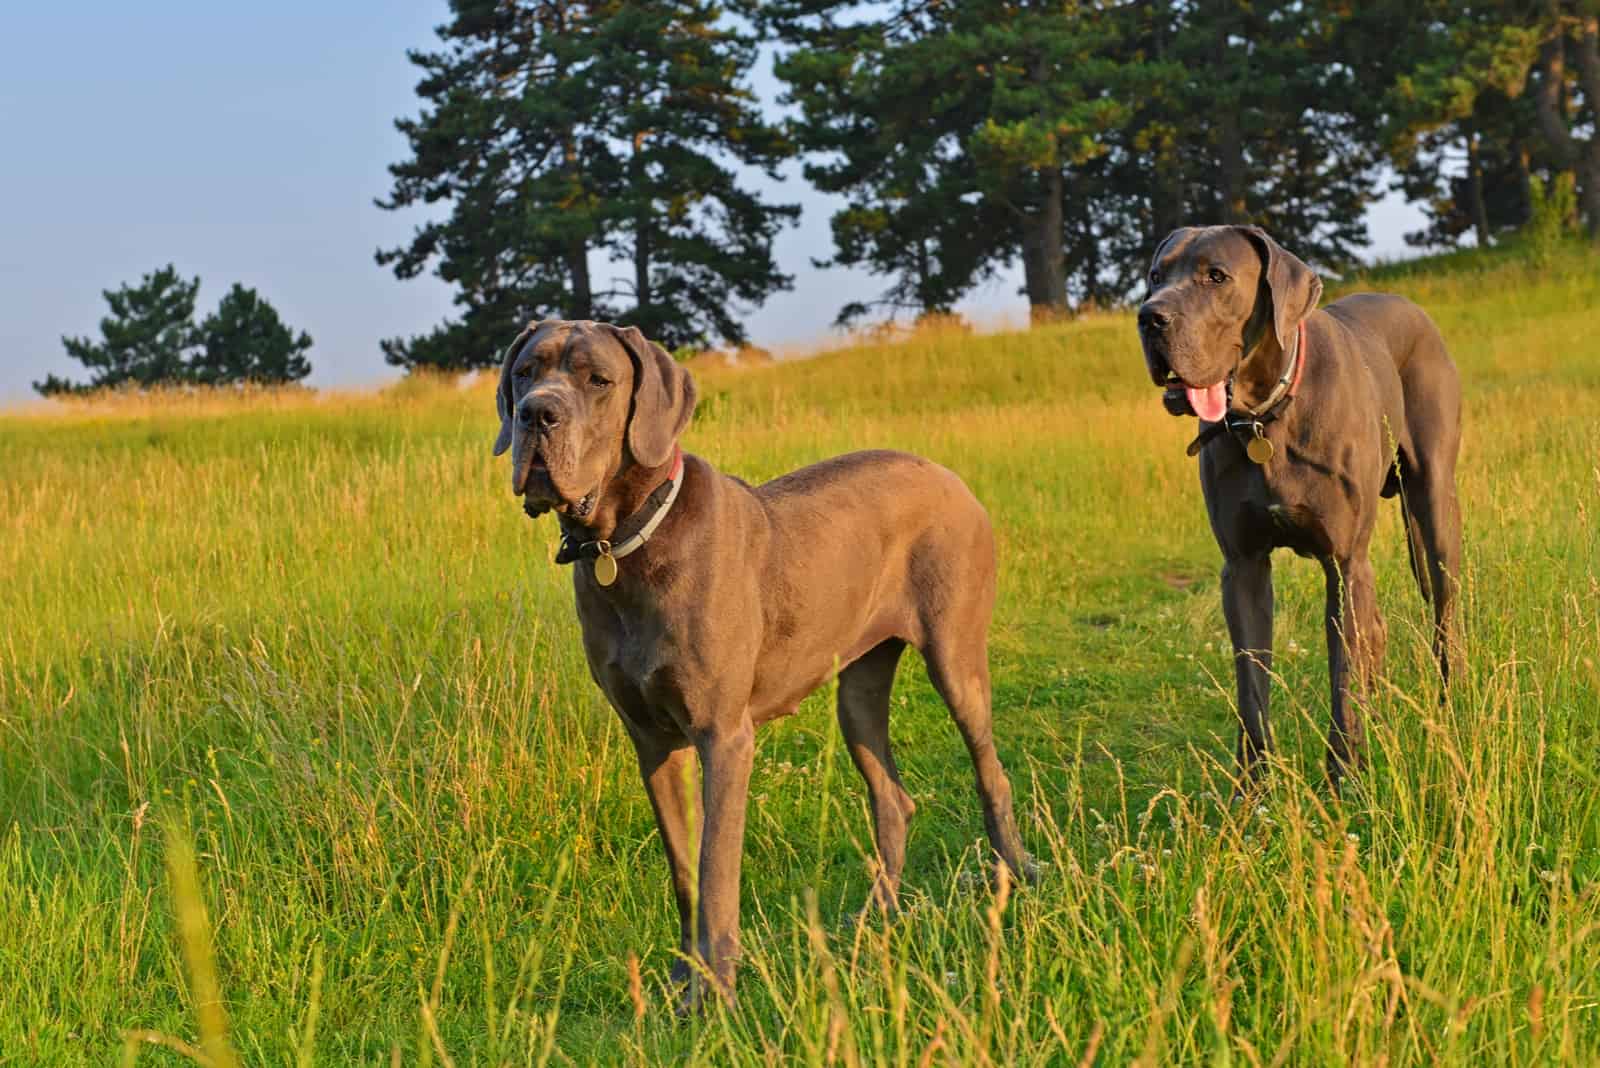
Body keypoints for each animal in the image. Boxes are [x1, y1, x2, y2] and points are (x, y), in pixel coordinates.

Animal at [492, 316, 1030, 1010]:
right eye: (526, 372)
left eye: (599, 381)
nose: (537, 413)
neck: (627, 541)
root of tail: (946, 472)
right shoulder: (652, 743)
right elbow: (684, 867)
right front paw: (685, 976)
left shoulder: (724, 736)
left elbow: (716, 865)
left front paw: (715, 989)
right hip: (857, 694)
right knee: (892, 797)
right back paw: (876, 915)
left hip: (955, 657)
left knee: (991, 772)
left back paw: (1017, 874)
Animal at [1139, 225, 1465, 789]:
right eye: (1157, 276)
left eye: (1216, 276)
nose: (1150, 316)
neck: (1265, 415)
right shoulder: (1243, 567)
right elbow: (1252, 684)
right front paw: (1252, 793)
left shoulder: (1344, 562)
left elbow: (1343, 675)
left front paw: (1346, 781)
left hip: (1434, 508)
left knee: (1444, 615)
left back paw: (1453, 705)